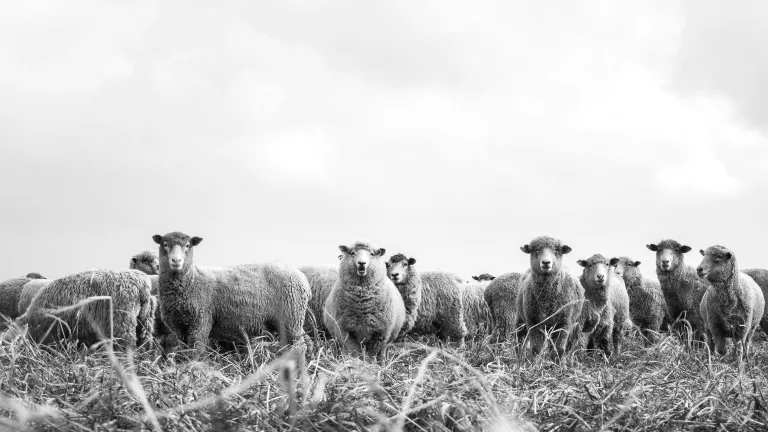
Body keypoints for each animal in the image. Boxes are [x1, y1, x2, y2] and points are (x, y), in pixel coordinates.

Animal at [152, 232, 311, 357]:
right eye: (165, 244)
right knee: (303, 342)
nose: (176, 260)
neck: (192, 281)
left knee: (299, 346)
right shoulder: (178, 328)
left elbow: (196, 352)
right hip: (289, 320)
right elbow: (183, 352)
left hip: (291, 316)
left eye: (187, 245)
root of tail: (302, 278)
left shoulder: (201, 322)